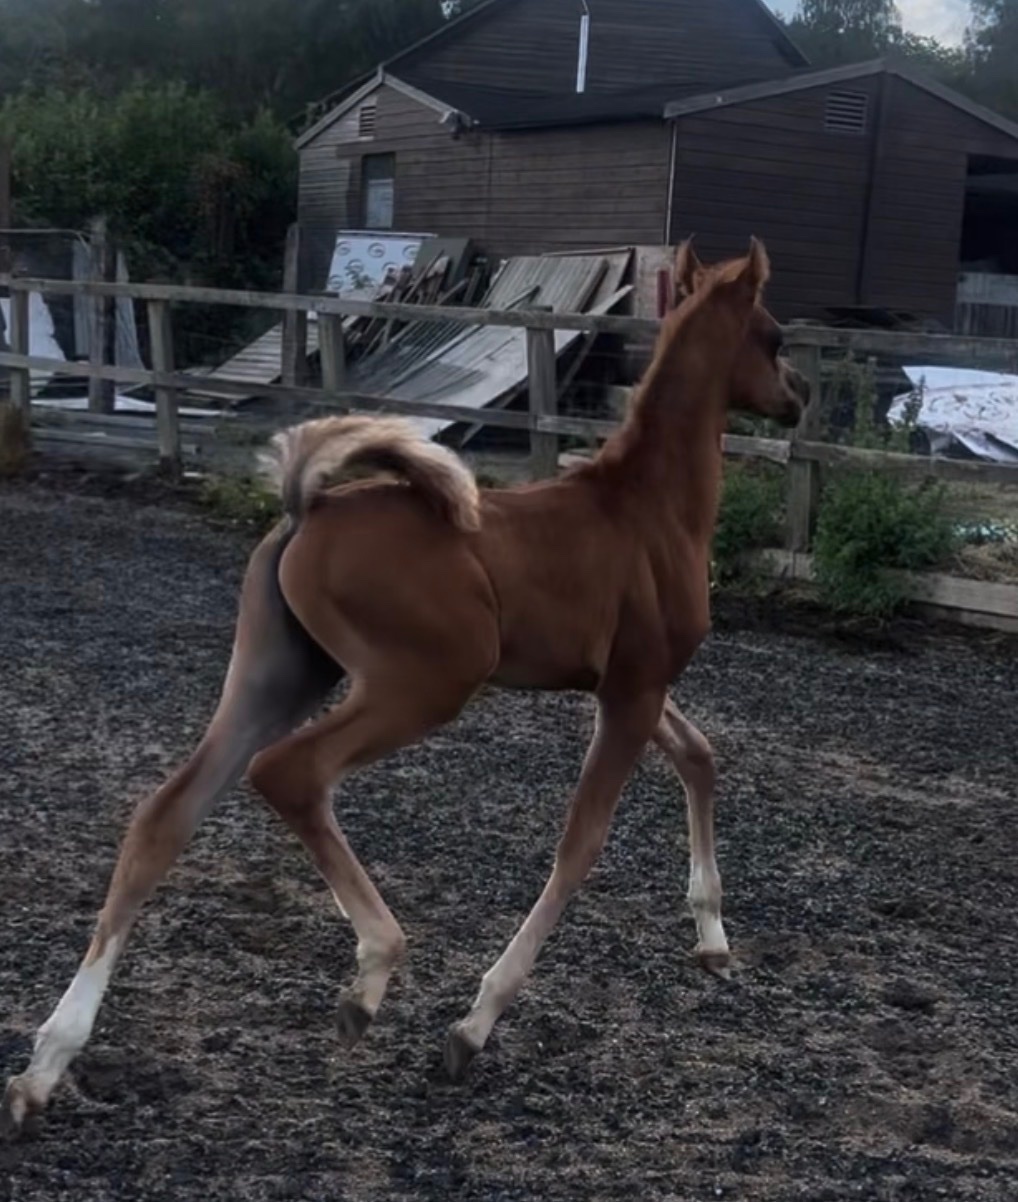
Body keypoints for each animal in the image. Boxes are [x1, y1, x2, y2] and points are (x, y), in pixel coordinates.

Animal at [2, 237, 809, 1131]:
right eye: (773, 336)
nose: (799, 398)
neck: (649, 510)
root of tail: (309, 508)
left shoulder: (631, 685)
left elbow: (699, 757)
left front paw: (713, 936)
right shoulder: (630, 690)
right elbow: (582, 842)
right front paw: (473, 1025)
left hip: (281, 674)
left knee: (164, 816)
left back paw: (45, 1064)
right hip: (425, 683)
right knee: (290, 773)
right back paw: (371, 976)